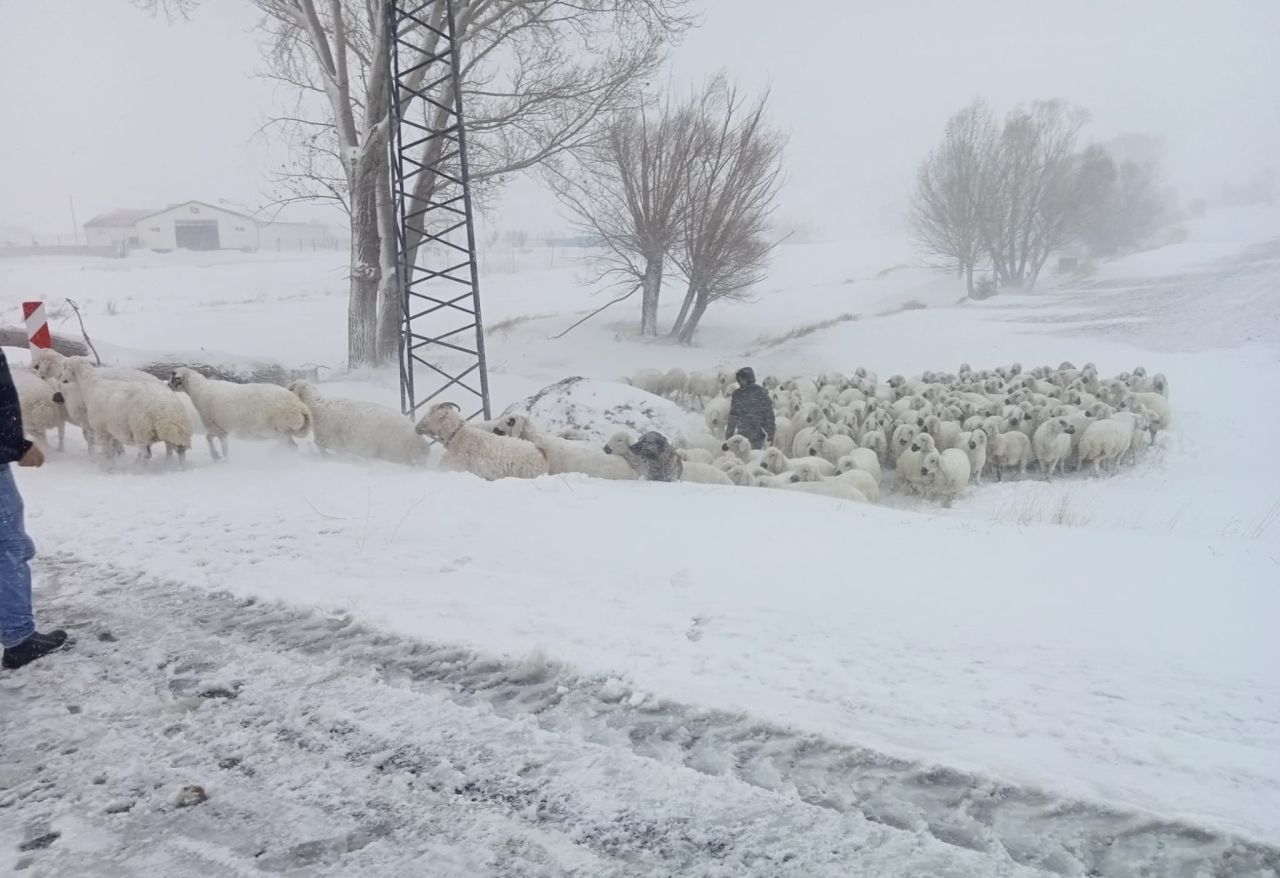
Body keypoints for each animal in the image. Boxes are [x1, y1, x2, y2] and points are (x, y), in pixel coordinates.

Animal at [170, 366, 312, 460]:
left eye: (174, 377)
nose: (168, 385)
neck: (199, 388)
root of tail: (300, 407)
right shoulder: (222, 430)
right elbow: (224, 445)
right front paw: (224, 457)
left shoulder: (214, 427)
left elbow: (209, 439)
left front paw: (216, 456)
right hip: (283, 430)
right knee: (291, 445)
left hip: (273, 430)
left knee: (287, 443)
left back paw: (275, 455)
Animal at [290, 381, 430, 470]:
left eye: (290, 388)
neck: (317, 405)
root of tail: (416, 438)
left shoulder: (332, 439)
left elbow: (324, 447)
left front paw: (329, 458)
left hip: (394, 451)